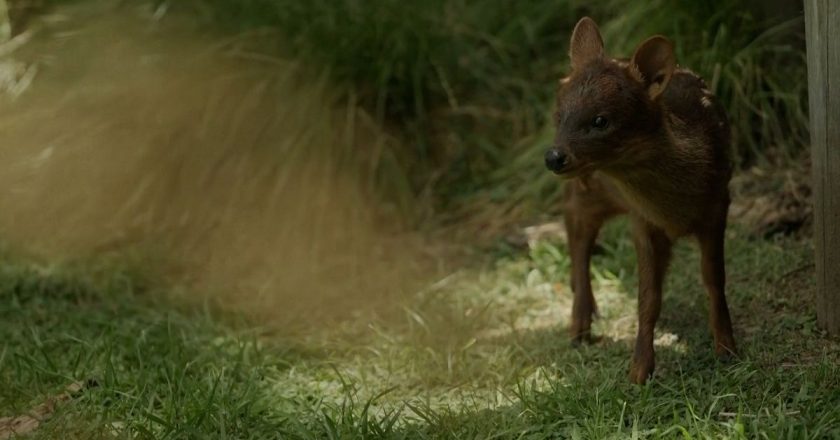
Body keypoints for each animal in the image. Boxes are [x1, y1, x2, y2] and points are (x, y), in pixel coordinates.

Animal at [544, 15, 736, 384]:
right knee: (576, 237)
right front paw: (639, 370)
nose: (554, 157)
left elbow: (714, 279)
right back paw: (580, 325)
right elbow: (648, 298)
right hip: (587, 191)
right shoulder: (642, 221)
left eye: (601, 119)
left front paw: (727, 348)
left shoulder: (719, 206)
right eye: (560, 114)